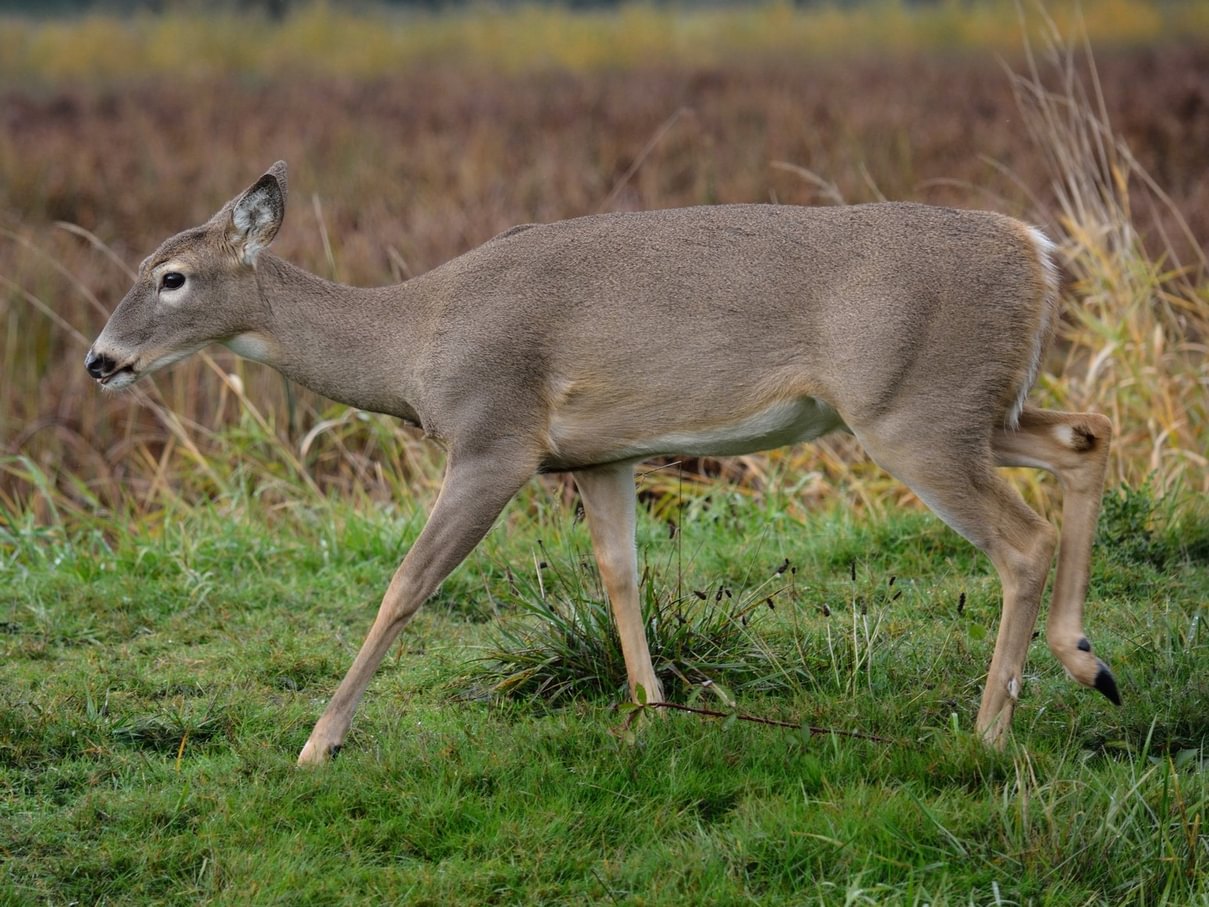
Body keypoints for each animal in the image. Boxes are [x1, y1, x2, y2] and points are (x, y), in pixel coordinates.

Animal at [85, 161, 1119, 765]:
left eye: (172, 277)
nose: (100, 360)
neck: (412, 341)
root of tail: (1036, 252)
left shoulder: (493, 436)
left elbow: (407, 584)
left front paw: (317, 742)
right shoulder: (600, 454)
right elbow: (619, 570)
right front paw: (651, 710)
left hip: (912, 409)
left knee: (1021, 540)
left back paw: (989, 730)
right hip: (973, 405)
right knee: (1085, 435)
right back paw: (1086, 660)